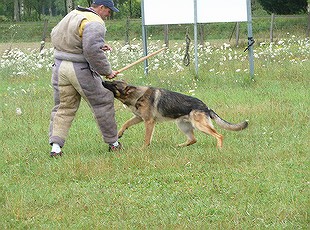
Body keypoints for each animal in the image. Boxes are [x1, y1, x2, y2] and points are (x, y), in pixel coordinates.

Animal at [103, 80, 248, 148]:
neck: (137, 95)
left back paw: (219, 148)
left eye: (114, 84)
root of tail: (206, 107)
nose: (103, 81)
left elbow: (146, 138)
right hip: (182, 125)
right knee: (193, 139)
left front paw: (143, 149)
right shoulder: (138, 117)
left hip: (200, 125)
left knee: (219, 135)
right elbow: (125, 123)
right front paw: (119, 133)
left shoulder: (149, 122)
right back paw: (179, 146)